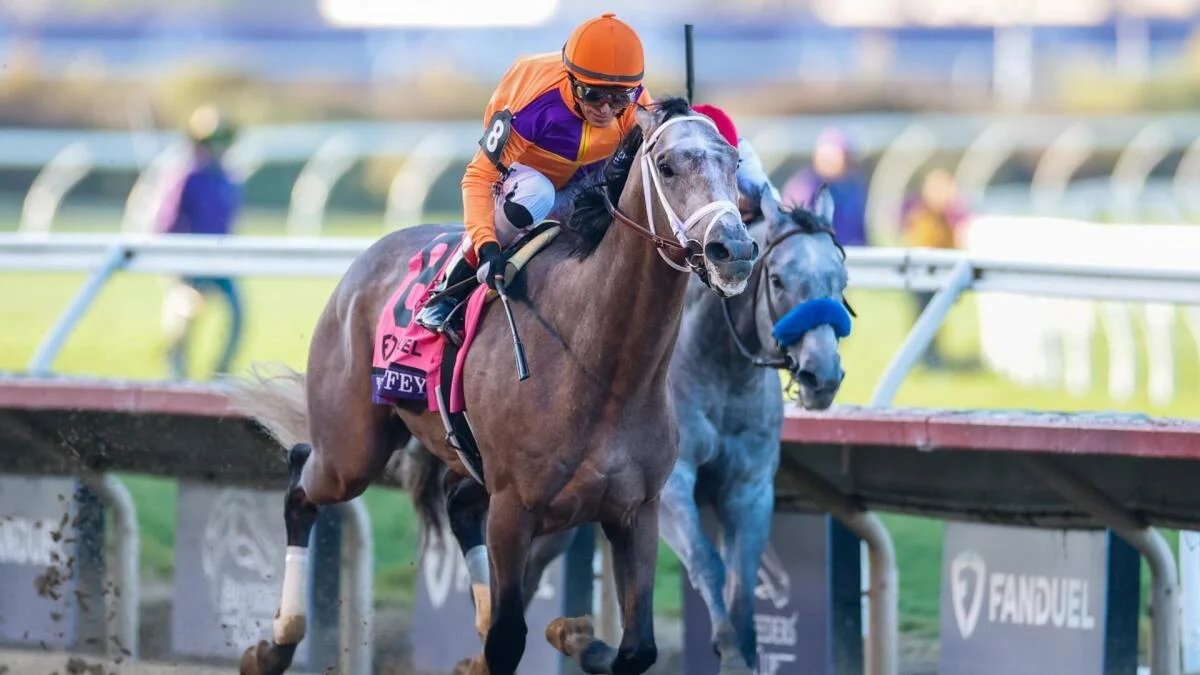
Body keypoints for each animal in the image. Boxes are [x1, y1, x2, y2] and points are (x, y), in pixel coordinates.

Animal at [236, 97, 759, 675]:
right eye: (666, 166)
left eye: (734, 162)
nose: (733, 249)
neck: (605, 370)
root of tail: (366, 259)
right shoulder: (514, 509)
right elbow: (510, 638)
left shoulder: (636, 510)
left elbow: (637, 647)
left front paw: (575, 634)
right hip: (351, 449)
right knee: (302, 482)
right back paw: (275, 644)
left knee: (457, 503)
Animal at [406, 184, 851, 673]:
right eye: (779, 281)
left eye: (841, 280)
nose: (822, 376)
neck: (720, 374)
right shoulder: (670, 488)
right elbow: (708, 563)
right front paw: (729, 650)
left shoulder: (749, 487)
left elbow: (743, 585)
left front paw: (744, 650)